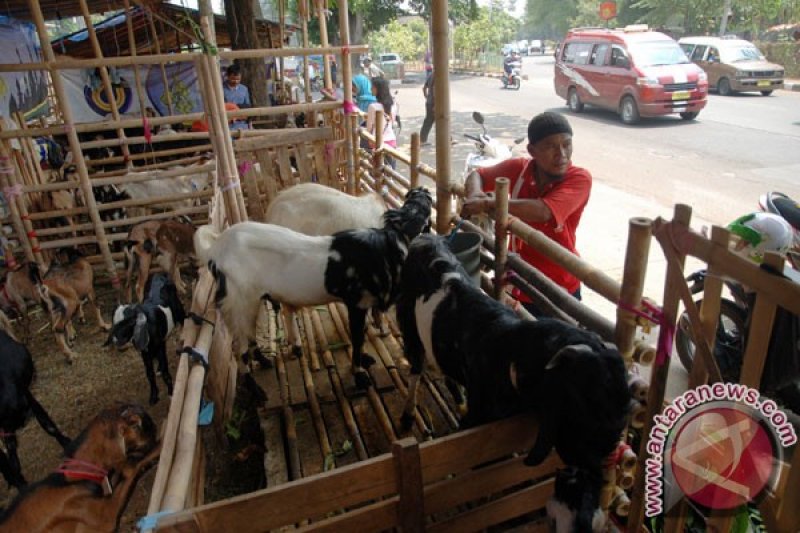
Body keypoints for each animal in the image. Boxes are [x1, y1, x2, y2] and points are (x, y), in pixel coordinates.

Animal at [104, 274, 186, 404]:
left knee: (184, 320)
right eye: (114, 322)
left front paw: (171, 393)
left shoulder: (159, 346)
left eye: (129, 322)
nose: (116, 341)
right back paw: (159, 368)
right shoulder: (145, 352)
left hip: (179, 310)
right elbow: (149, 373)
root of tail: (158, 275)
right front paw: (154, 396)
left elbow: (166, 372)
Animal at [394, 236, 632, 532]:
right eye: (585, 402)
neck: (509, 353)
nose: (593, 471)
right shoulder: (480, 419)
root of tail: (427, 238)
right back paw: (407, 415)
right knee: (415, 367)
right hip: (408, 322)